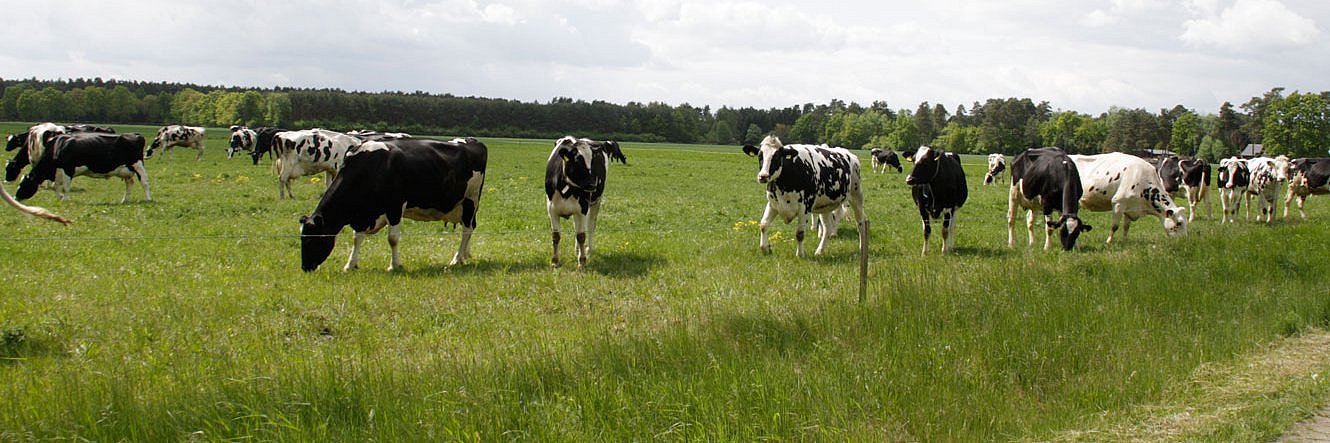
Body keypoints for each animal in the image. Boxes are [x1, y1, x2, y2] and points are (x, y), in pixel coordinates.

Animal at [14, 129, 149, 202]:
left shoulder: (68, 169)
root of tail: (136, 134)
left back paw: (148, 199)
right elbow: (56, 187)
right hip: (126, 170)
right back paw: (124, 200)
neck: (57, 147)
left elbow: (66, 187)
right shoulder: (58, 172)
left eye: (24, 185)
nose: (15, 198)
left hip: (138, 165)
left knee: (145, 182)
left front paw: (65, 199)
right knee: (129, 183)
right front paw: (60, 197)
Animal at [297, 136, 489, 271]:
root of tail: (473, 142)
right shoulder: (362, 215)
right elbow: (357, 238)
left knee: (467, 230)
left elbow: (393, 239)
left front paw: (394, 265)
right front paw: (350, 265)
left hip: (470, 199)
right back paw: (464, 255)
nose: (305, 267)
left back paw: (456, 259)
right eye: (301, 238)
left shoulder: (395, 206)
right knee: (470, 227)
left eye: (310, 239)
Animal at [545, 134, 627, 267]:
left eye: (593, 162)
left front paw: (582, 261)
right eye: (577, 161)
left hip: (596, 202)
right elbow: (556, 236)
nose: (592, 185)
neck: (566, 188)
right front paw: (555, 261)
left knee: (590, 226)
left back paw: (588, 250)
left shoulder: (583, 208)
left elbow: (581, 235)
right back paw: (577, 249)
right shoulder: (551, 209)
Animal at [739, 136, 872, 256]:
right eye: (760, 156)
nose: (763, 176)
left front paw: (800, 254)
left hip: (856, 196)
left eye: (776, 156)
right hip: (825, 205)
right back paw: (820, 251)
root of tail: (851, 155)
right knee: (827, 227)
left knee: (860, 222)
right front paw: (765, 249)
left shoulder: (805, 207)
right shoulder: (773, 204)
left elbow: (800, 233)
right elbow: (763, 225)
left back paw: (862, 247)